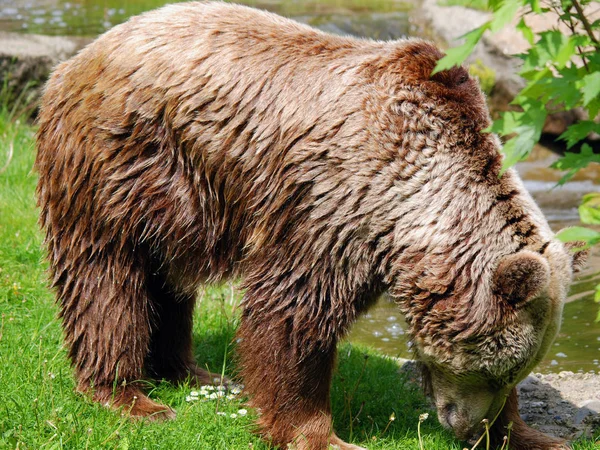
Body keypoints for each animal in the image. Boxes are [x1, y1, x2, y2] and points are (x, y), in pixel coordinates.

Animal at [32, 1, 584, 448]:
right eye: (496, 368)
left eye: (516, 372)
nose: (468, 428)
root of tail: (81, 55)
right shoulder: (333, 202)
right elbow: (293, 312)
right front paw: (321, 435)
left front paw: (531, 437)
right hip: (121, 160)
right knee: (106, 275)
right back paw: (128, 395)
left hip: (174, 202)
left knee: (168, 278)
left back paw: (194, 372)